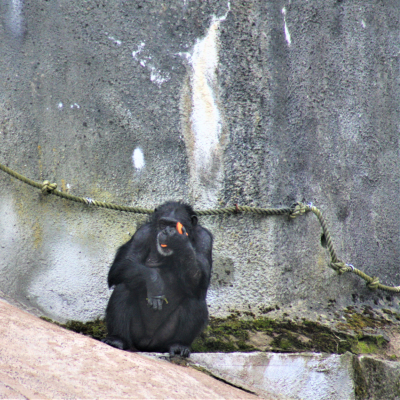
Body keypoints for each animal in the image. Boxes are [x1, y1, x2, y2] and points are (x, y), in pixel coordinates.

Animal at [104, 202, 214, 358]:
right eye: (163, 224)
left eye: (173, 225)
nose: (166, 231)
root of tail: (147, 346)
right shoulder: (141, 235)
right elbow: (121, 266)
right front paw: (154, 282)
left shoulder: (205, 239)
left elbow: (201, 282)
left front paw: (180, 241)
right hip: (137, 335)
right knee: (124, 286)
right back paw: (117, 339)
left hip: (163, 338)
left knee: (195, 297)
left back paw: (179, 345)